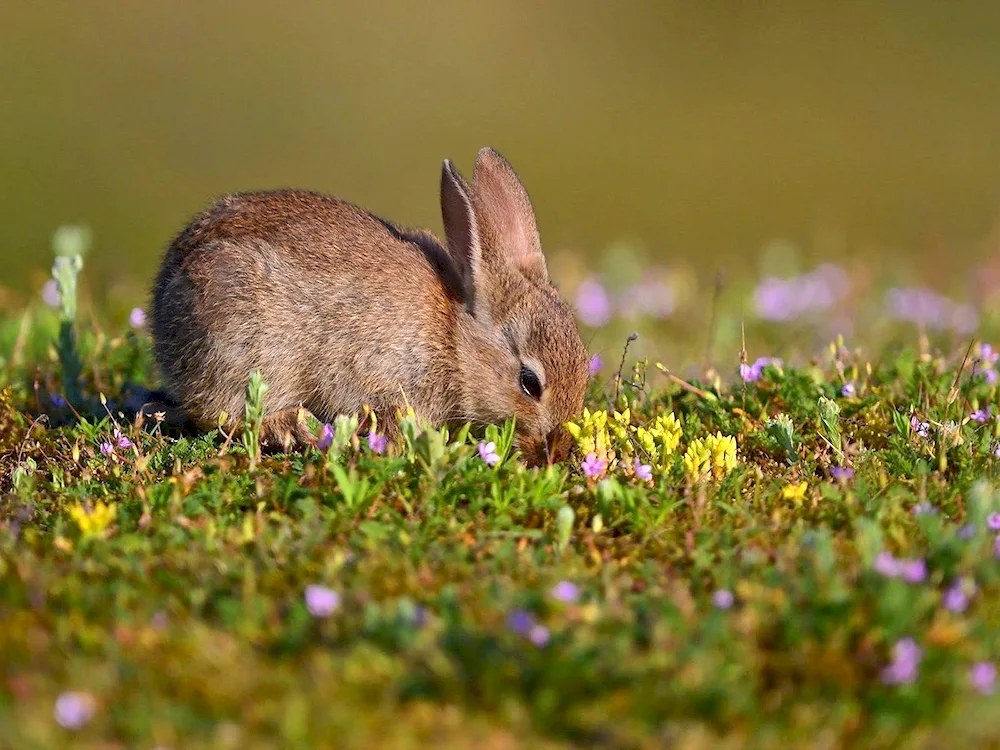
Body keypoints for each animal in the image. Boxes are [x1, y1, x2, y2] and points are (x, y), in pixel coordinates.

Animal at [146, 146, 584, 464]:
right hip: (239, 342)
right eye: (529, 383)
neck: (454, 339)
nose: (555, 451)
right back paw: (290, 426)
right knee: (221, 415)